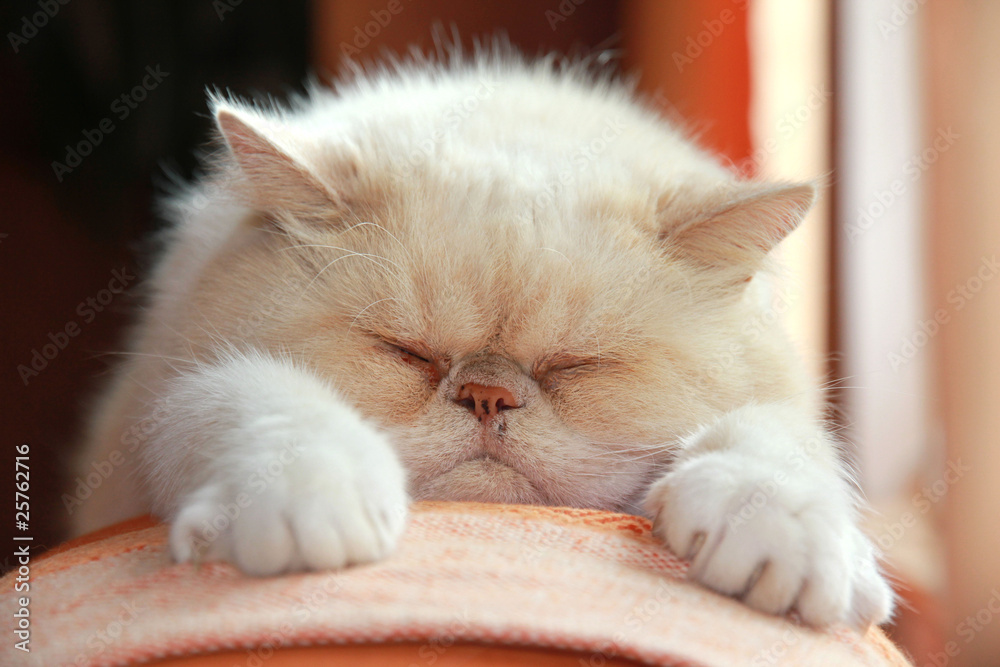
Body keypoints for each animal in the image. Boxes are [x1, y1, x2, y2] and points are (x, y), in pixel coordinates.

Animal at [74, 48, 896, 632]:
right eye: (407, 352)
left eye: (574, 366)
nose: (487, 395)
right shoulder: (168, 398)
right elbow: (271, 404)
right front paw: (313, 509)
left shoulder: (777, 413)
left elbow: (773, 439)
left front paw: (782, 541)